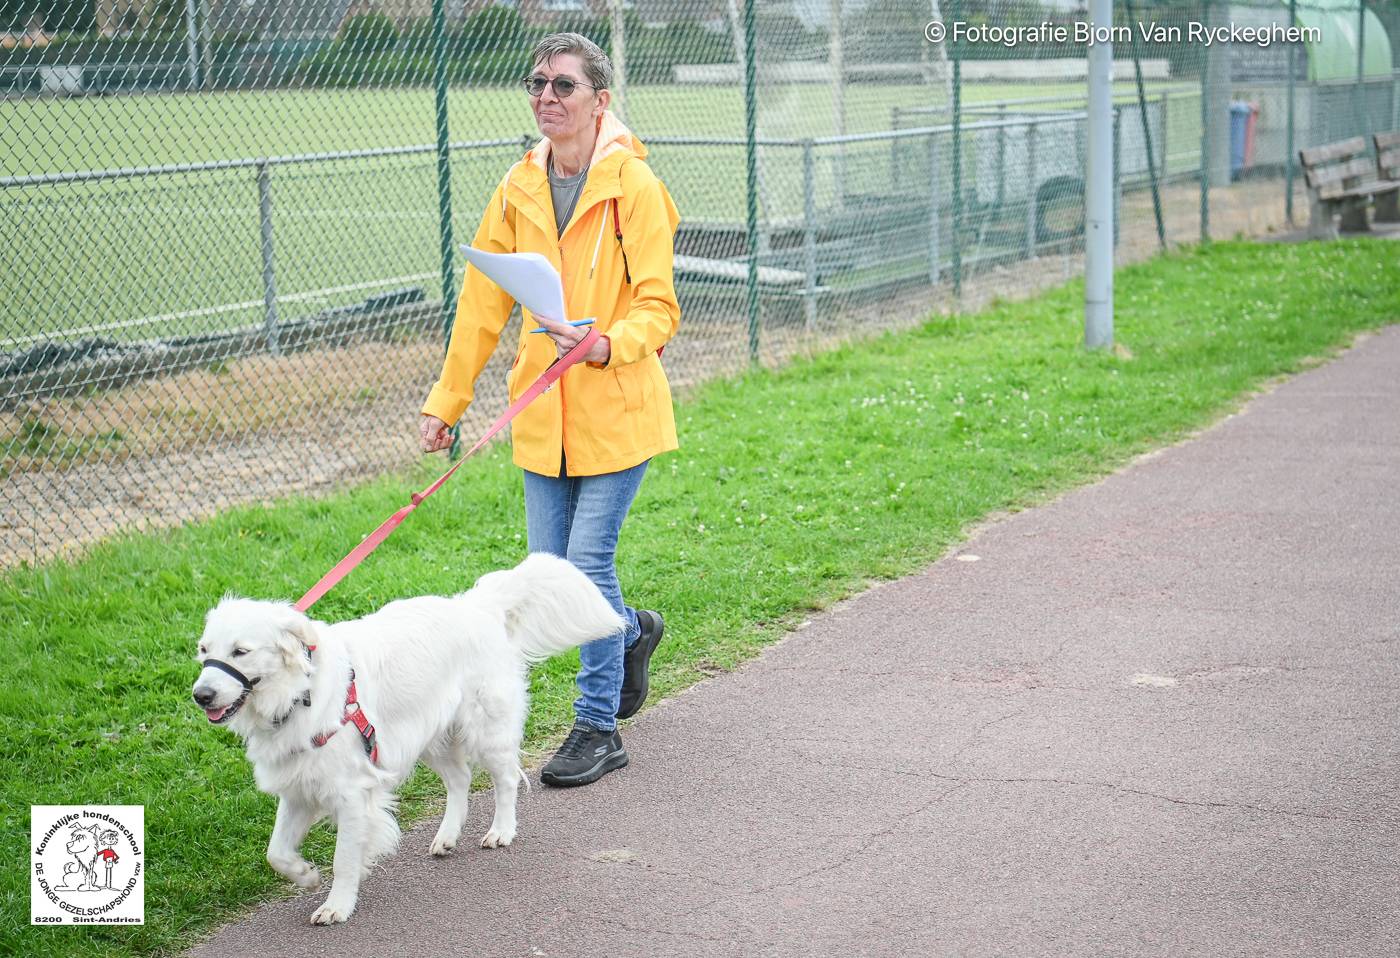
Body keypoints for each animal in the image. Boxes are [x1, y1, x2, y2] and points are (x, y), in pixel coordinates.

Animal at [190, 549, 624, 924]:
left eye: (241, 651)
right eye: (204, 650)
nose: (201, 695)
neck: (300, 693)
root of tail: (475, 605)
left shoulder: (350, 793)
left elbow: (343, 859)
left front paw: (337, 905)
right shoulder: (299, 785)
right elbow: (275, 852)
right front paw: (306, 875)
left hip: (485, 729)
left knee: (506, 780)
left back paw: (501, 831)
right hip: (430, 738)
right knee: (461, 780)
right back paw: (447, 836)